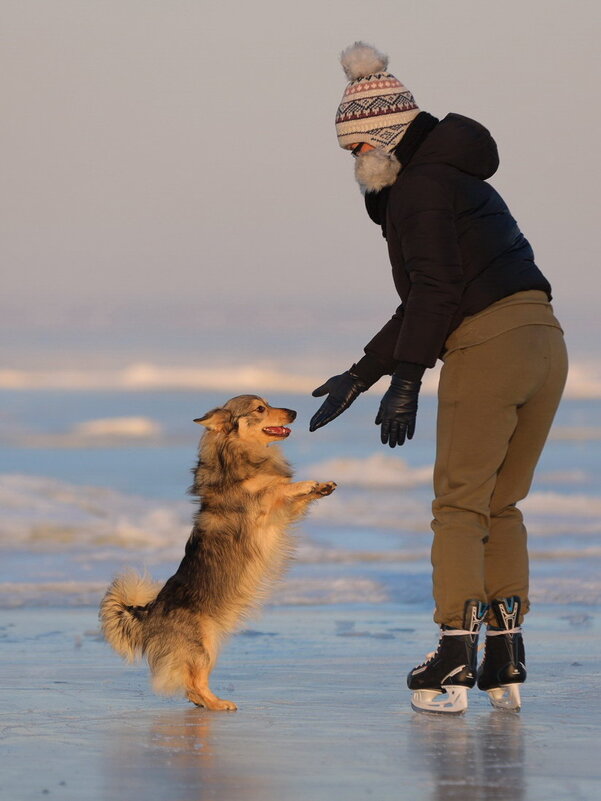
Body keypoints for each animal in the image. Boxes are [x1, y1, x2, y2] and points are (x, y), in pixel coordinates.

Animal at [100, 390, 336, 708]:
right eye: (260, 409)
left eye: (269, 403)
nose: (295, 412)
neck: (239, 451)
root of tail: (148, 613)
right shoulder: (261, 507)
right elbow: (277, 487)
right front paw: (307, 483)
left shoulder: (284, 514)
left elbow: (291, 493)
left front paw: (321, 487)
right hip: (203, 647)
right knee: (193, 683)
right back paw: (217, 704)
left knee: (192, 687)